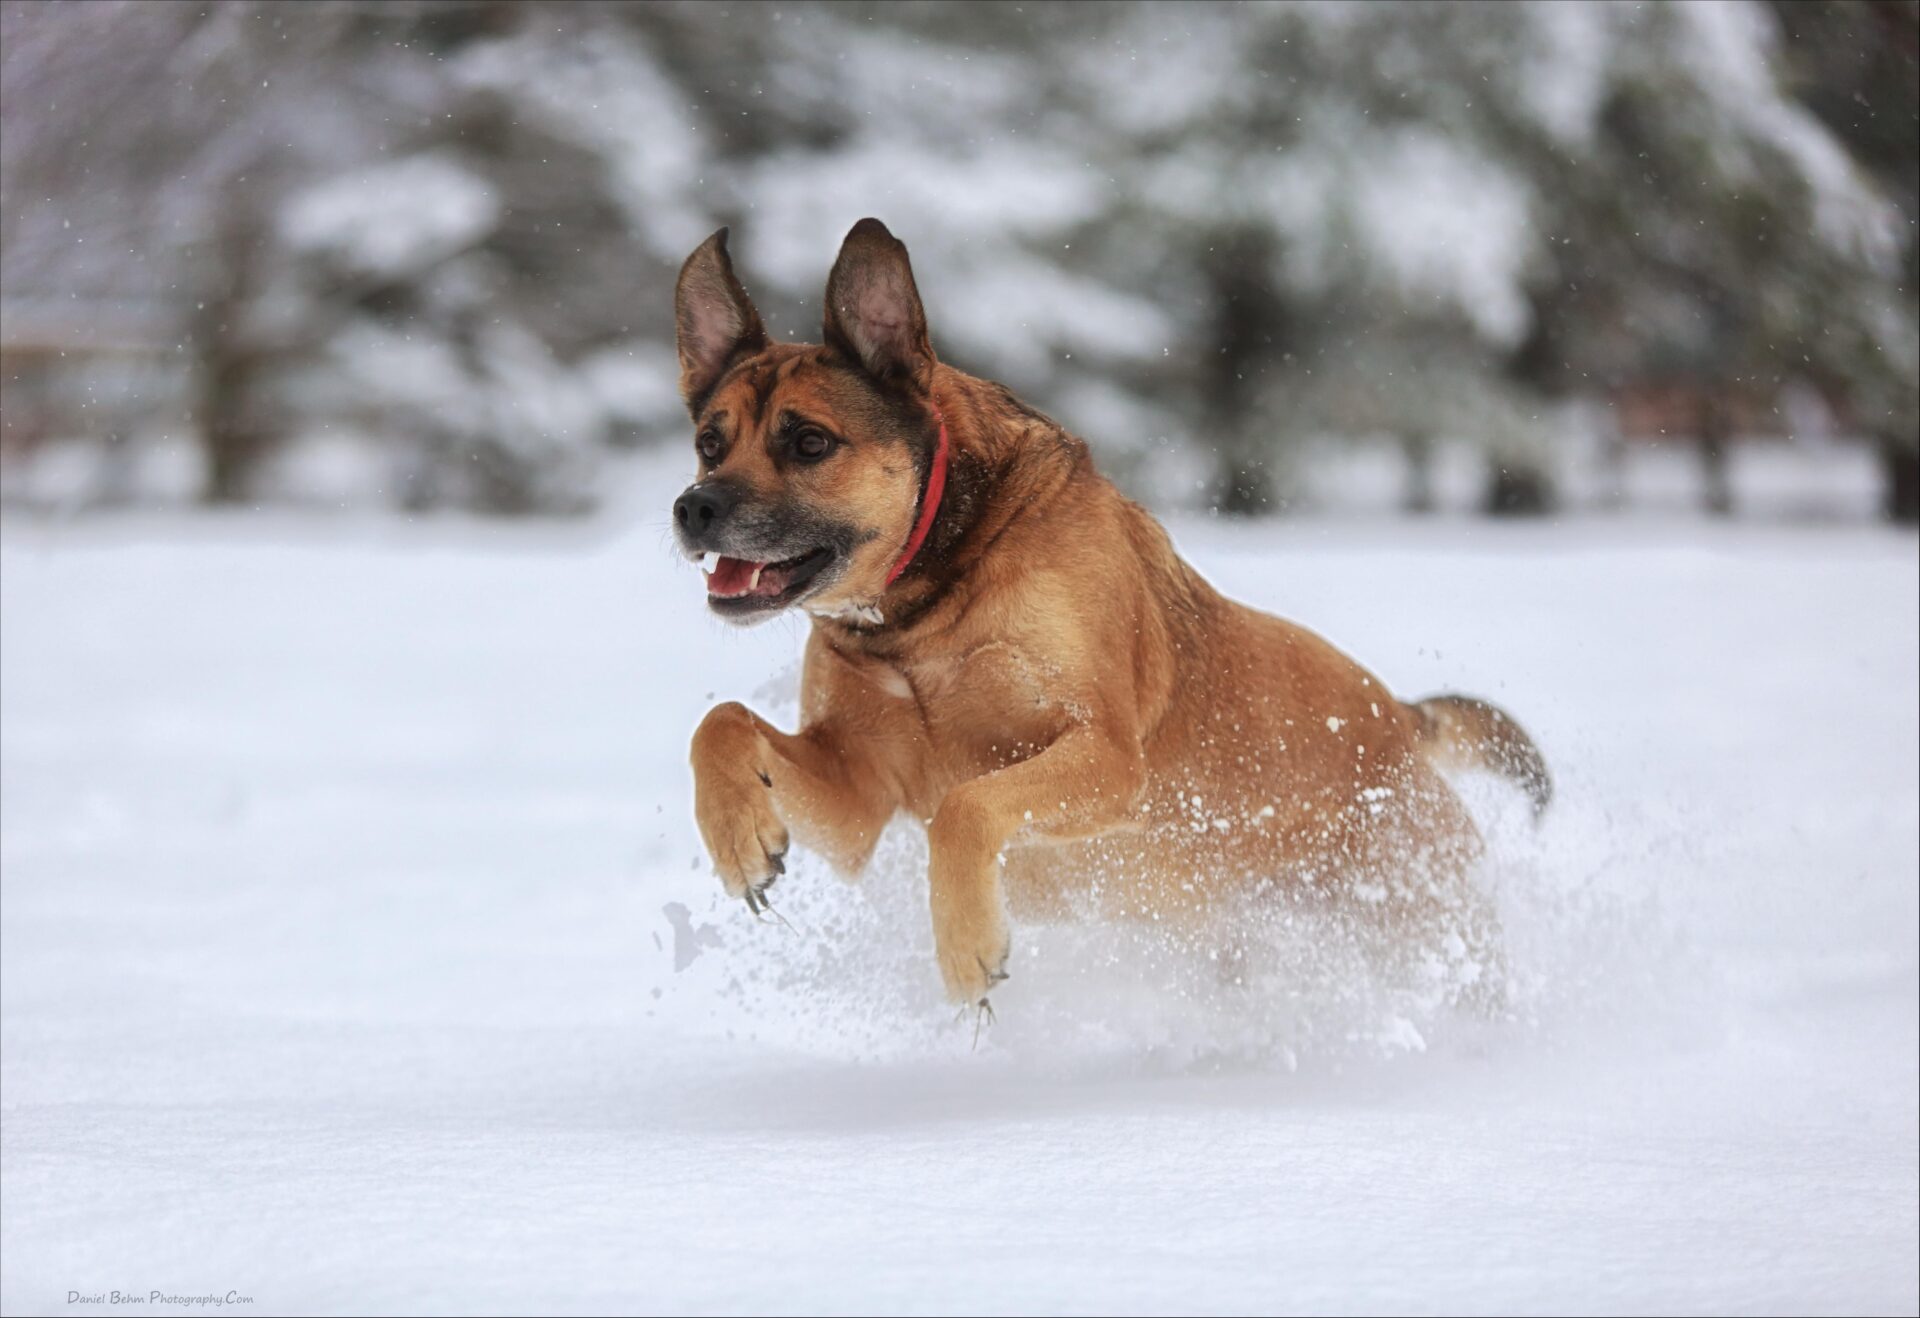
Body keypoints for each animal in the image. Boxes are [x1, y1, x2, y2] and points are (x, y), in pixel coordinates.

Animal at [672, 224, 1543, 1014]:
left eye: (809, 442)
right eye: (710, 442)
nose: (693, 508)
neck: (921, 610)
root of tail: (1398, 718)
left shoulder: (1108, 754)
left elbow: (967, 807)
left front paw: (966, 947)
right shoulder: (860, 791)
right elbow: (720, 722)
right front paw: (739, 837)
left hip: (1412, 909)